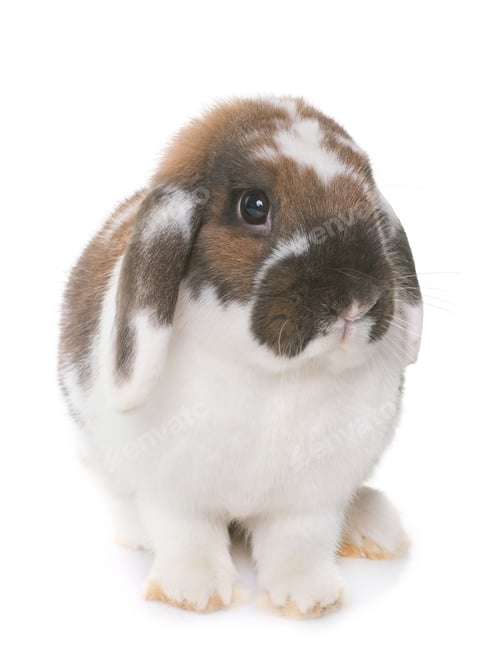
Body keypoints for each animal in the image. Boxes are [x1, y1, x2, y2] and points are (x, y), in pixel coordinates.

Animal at [58, 96, 422, 617]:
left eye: (369, 202)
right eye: (254, 206)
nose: (357, 299)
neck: (276, 376)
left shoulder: (313, 498)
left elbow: (300, 542)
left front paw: (308, 598)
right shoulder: (173, 491)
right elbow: (187, 535)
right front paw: (194, 593)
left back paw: (376, 529)